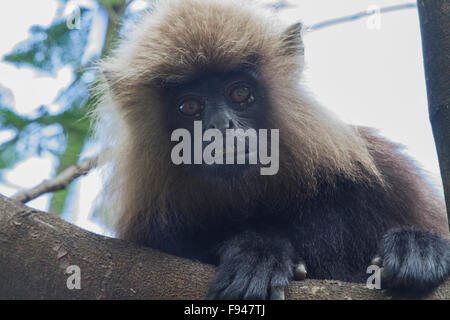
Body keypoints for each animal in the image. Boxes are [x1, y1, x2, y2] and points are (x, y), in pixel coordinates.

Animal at [94, 0, 446, 300]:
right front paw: (258, 251)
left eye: (240, 94)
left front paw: (419, 247)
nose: (221, 126)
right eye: (190, 107)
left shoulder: (386, 172)